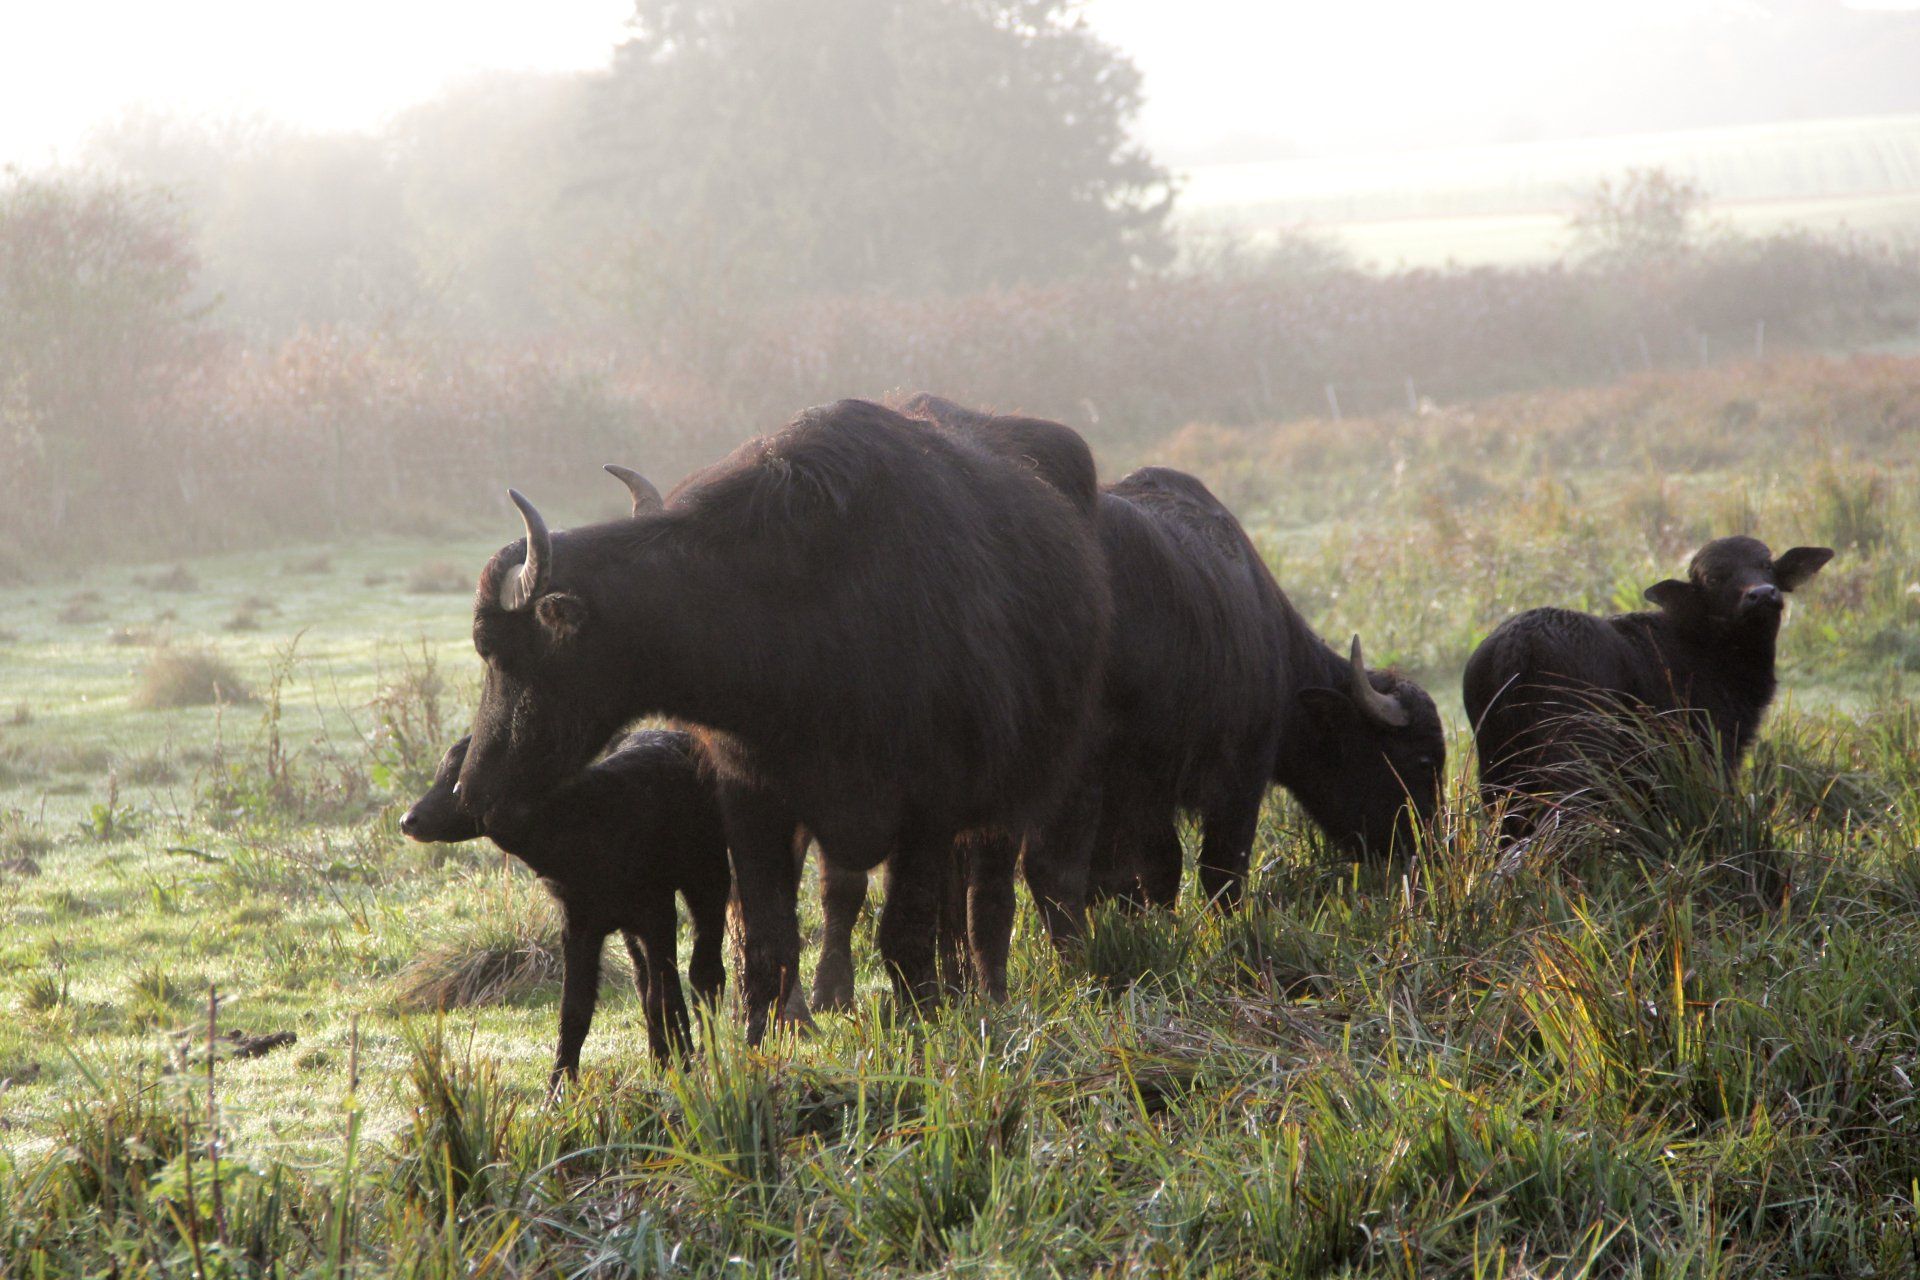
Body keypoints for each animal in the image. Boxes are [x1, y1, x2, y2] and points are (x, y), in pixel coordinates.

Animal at [454, 400, 1109, 1040]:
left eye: (493, 647)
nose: (469, 788)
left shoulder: (930, 808)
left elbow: (905, 934)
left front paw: (921, 1027)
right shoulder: (754, 797)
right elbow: (767, 937)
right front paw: (761, 1041)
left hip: (1012, 795)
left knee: (986, 900)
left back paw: (986, 995)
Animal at [1463, 534, 1833, 838]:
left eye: (1765, 565)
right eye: (1714, 579)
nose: (1761, 594)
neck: (1705, 648)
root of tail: (1520, 644)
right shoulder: (1710, 755)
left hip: (1498, 771)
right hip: (1573, 761)